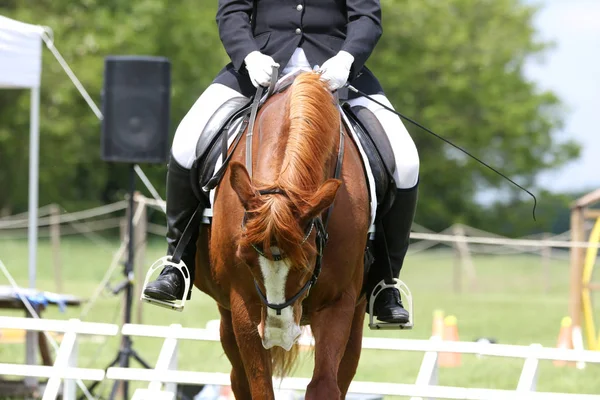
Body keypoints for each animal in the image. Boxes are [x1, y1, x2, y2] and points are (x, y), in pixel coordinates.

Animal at [195, 72, 370, 400]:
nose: (277, 333)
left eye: (308, 261)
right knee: (238, 378)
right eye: (245, 258)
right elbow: (259, 386)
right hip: (226, 313)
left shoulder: (339, 301)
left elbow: (325, 386)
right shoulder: (242, 302)